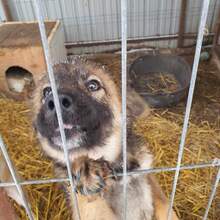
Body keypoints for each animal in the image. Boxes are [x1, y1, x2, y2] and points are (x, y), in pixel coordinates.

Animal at [30, 57, 179, 219]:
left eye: (93, 85)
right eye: (47, 91)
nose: (56, 102)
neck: (115, 168)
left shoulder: (147, 176)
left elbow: (165, 206)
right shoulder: (86, 206)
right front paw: (85, 164)